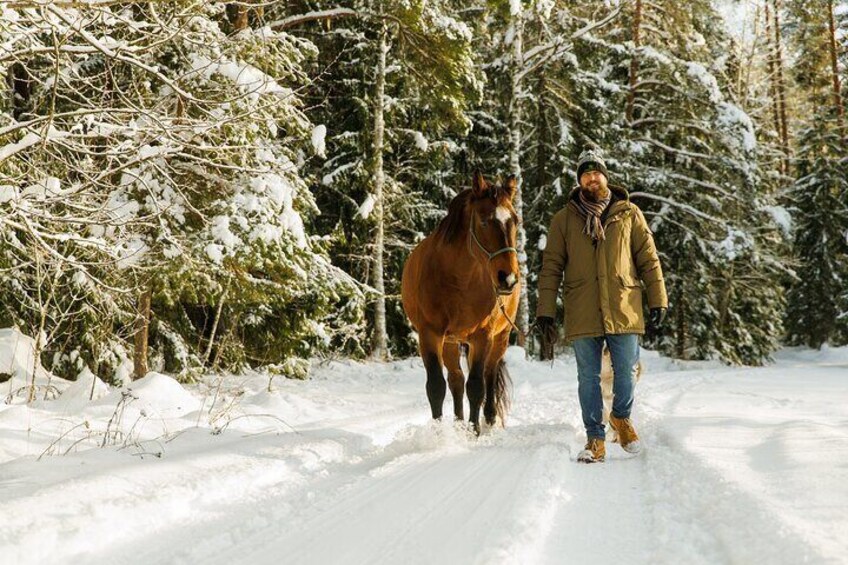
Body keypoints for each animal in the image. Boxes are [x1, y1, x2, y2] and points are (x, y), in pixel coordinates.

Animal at [400, 171, 520, 432]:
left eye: (515, 221)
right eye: (484, 221)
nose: (508, 278)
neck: (460, 281)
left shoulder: (483, 336)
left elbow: (476, 386)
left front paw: (473, 432)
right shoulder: (430, 334)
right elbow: (436, 387)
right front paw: (439, 433)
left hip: (500, 338)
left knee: (489, 374)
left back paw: (488, 420)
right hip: (450, 342)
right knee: (456, 379)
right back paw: (458, 423)